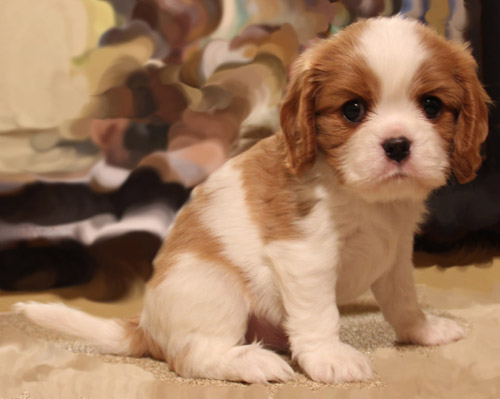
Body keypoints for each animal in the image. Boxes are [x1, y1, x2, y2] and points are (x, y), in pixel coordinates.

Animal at [14, 17, 488, 386]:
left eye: (432, 105)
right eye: (352, 110)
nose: (398, 145)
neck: (367, 199)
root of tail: (145, 328)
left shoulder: (395, 255)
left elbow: (404, 300)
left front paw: (422, 332)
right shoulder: (306, 255)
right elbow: (319, 313)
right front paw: (329, 357)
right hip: (215, 285)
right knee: (193, 356)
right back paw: (251, 362)